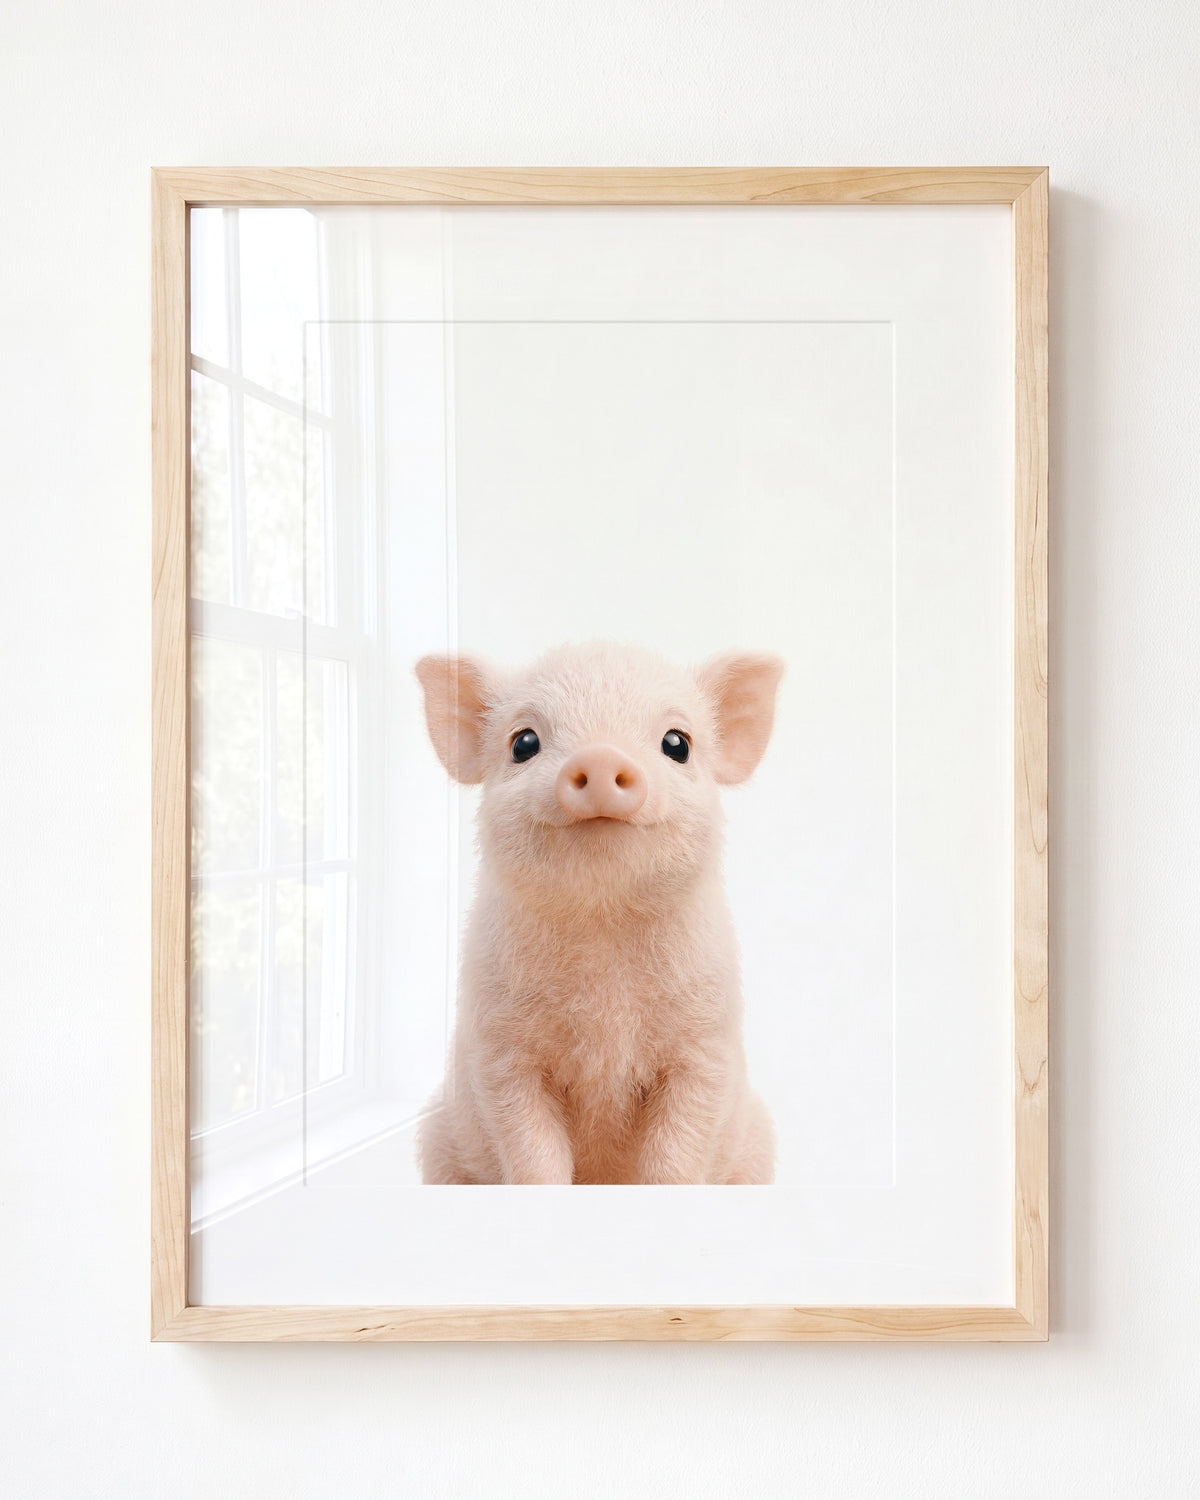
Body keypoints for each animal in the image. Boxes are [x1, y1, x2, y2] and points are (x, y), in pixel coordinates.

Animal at [413, 640, 783, 1185]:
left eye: (678, 743)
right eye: (523, 742)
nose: (602, 754)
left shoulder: (705, 1046)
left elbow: (675, 1156)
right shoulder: (500, 1053)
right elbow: (534, 1154)